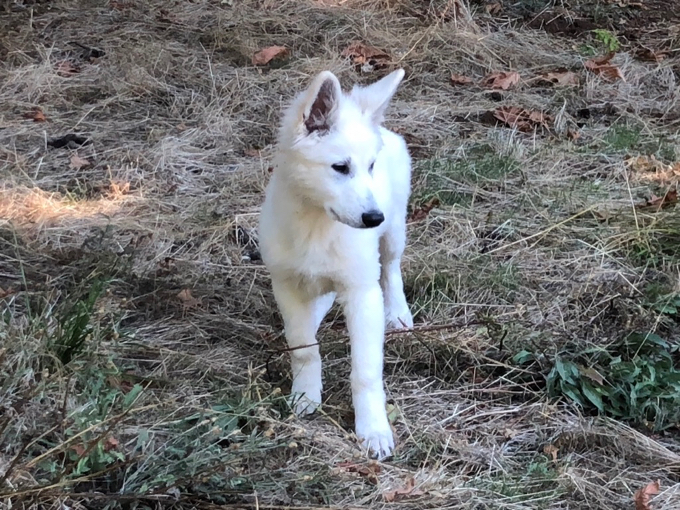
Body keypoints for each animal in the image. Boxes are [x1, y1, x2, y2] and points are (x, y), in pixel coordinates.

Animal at [258, 68, 412, 458]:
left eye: (370, 166)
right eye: (340, 167)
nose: (373, 217)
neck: (318, 225)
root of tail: (387, 131)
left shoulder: (363, 293)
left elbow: (366, 372)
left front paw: (373, 430)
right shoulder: (286, 284)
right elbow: (303, 347)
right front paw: (305, 396)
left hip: (395, 231)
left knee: (392, 269)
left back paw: (399, 313)